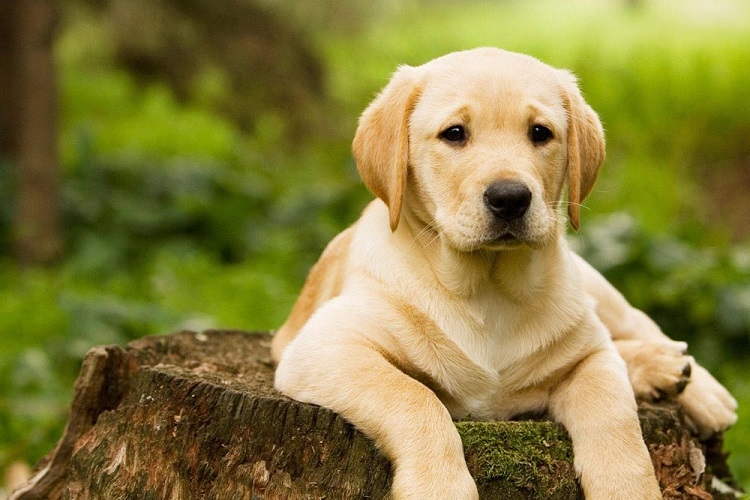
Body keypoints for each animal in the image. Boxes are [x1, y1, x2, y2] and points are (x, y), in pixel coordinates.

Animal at [272, 47, 740, 500]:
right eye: (454, 133)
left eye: (540, 133)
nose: (510, 198)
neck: (489, 286)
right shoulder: (327, 346)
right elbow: (413, 397)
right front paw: (440, 487)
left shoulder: (591, 358)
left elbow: (614, 416)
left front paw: (628, 488)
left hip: (594, 289)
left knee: (634, 325)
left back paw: (692, 383)